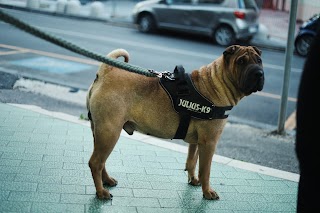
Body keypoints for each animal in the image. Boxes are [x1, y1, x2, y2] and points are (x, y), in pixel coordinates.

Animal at [85, 44, 264, 201]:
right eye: (241, 61)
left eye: (259, 60)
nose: (259, 73)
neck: (217, 83)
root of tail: (106, 72)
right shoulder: (209, 142)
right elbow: (205, 170)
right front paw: (207, 192)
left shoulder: (198, 142)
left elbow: (192, 161)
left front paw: (193, 180)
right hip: (109, 132)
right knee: (96, 162)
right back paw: (101, 192)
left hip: (100, 132)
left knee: (101, 161)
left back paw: (107, 181)